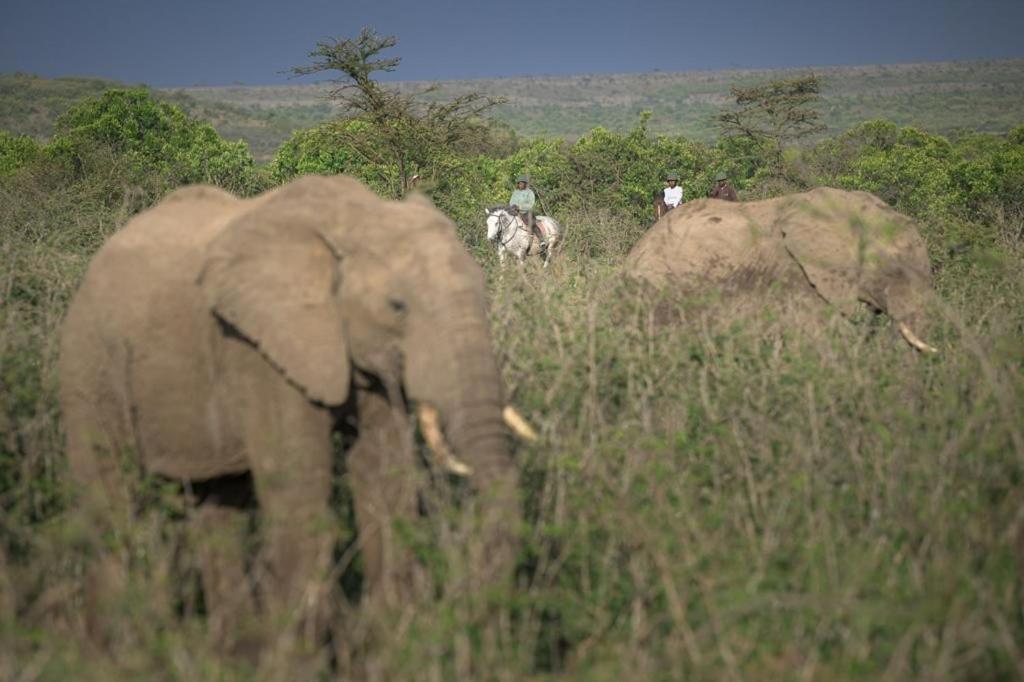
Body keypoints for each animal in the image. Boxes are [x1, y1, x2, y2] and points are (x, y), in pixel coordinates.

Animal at [58, 175, 528, 655]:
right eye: (398, 305)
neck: (354, 218)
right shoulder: (259, 350)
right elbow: (299, 496)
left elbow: (385, 482)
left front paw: (389, 645)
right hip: (89, 367)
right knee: (111, 502)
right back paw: (110, 649)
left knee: (220, 511)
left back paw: (230, 652)